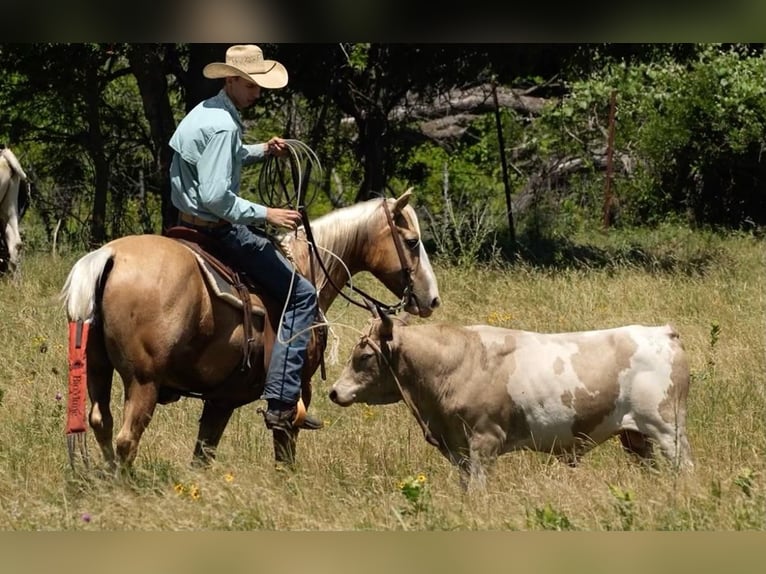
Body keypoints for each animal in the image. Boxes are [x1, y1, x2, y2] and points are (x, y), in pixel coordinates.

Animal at [61, 191, 444, 474]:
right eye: (412, 241)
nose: (431, 298)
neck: (304, 268)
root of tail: (109, 255)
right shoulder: (296, 392)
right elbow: (284, 451)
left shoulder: (221, 399)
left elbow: (202, 455)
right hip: (144, 382)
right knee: (127, 438)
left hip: (98, 371)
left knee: (102, 423)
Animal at [330, 310, 696, 490]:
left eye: (363, 356)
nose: (333, 391)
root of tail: (661, 331)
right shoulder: (459, 447)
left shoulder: (485, 440)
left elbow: (478, 489)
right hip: (636, 437)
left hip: (668, 429)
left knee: (686, 468)